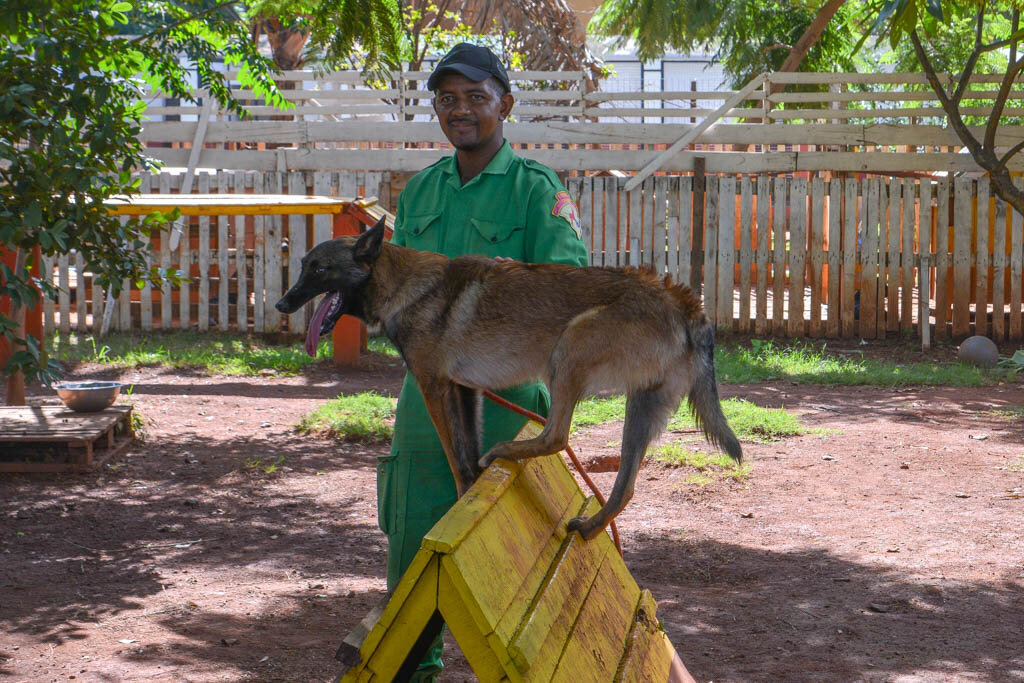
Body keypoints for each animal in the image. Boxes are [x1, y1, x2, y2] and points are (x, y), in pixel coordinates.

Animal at [276, 218, 741, 540]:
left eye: (319, 270)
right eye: (302, 267)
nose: (282, 303)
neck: (403, 284)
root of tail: (682, 300)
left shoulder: (435, 387)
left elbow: (455, 456)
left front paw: (464, 494)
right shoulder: (465, 391)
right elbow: (464, 451)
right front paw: (470, 492)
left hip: (568, 352)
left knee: (556, 436)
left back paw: (504, 451)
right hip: (640, 408)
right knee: (623, 488)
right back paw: (591, 526)